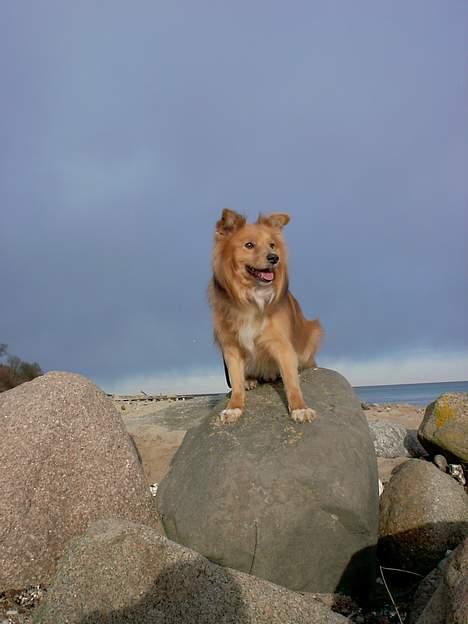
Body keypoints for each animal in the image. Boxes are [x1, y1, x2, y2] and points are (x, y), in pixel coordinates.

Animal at [210, 210, 324, 424]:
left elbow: (291, 381)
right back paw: (250, 380)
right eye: (249, 245)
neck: (251, 296)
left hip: (314, 330)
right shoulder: (230, 346)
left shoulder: (282, 344)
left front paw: (300, 408)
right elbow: (235, 381)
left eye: (272, 245)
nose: (274, 258)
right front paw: (234, 407)